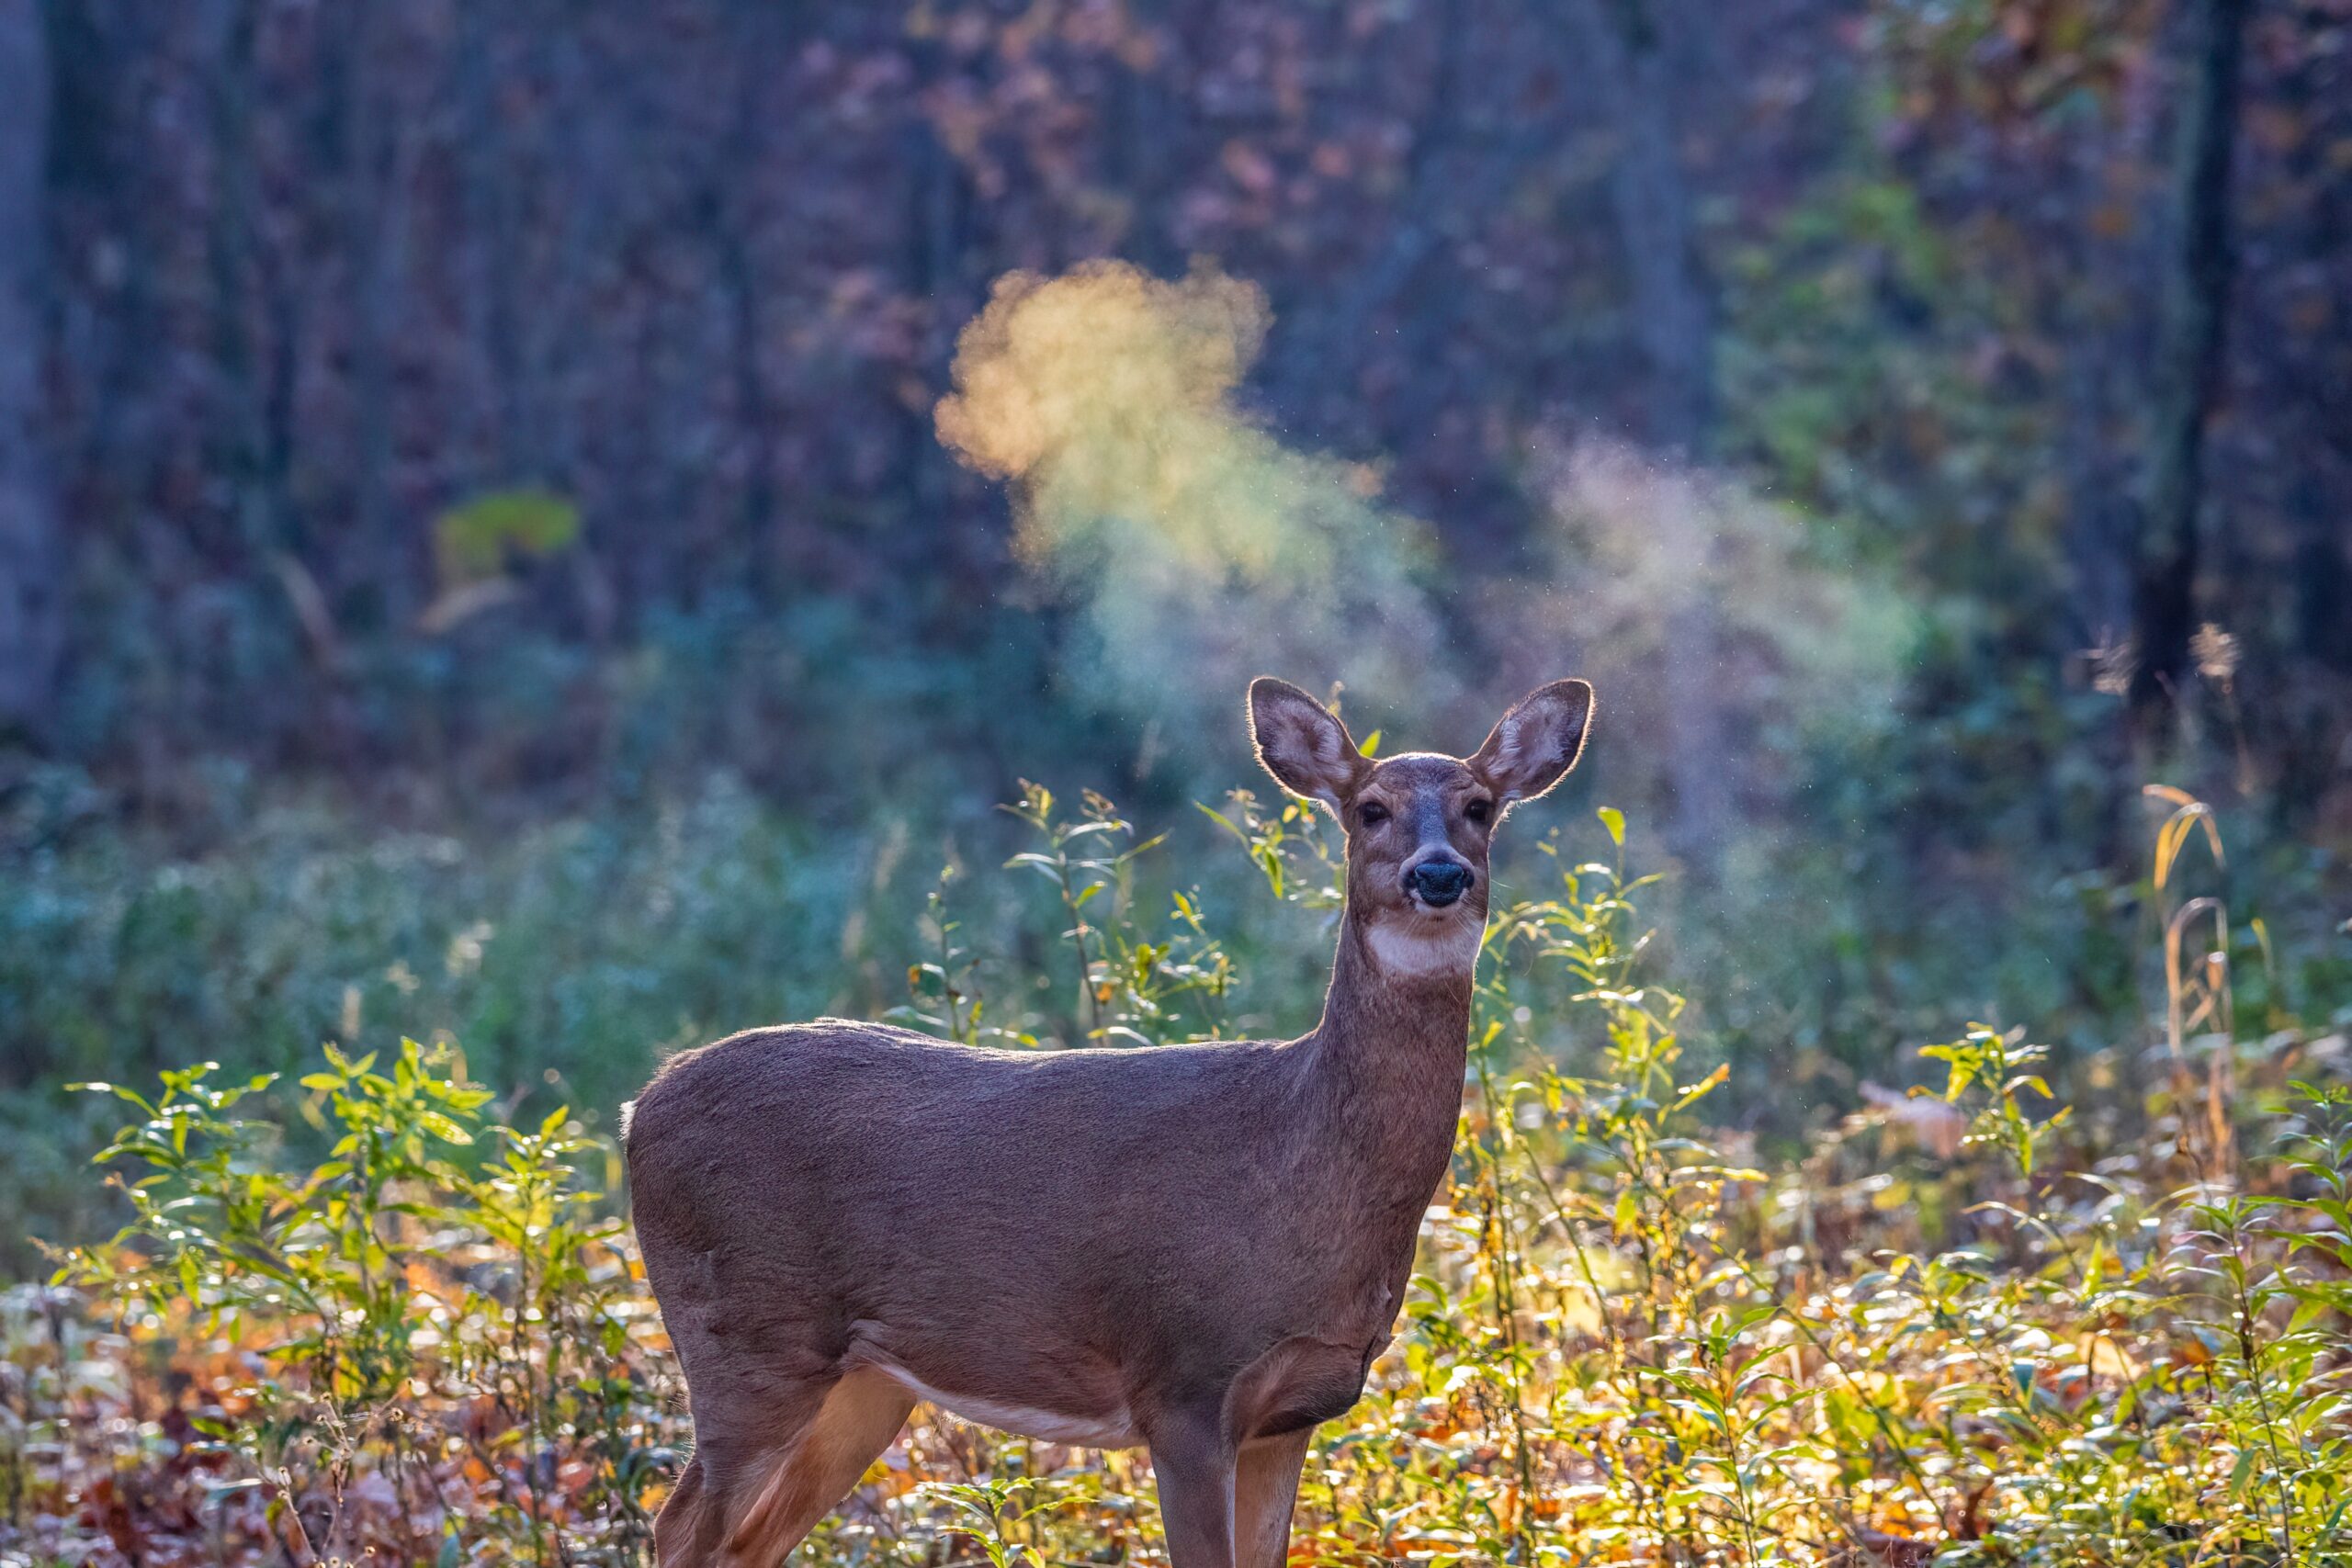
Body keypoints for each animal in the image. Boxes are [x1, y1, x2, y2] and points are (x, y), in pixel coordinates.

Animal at [620, 677, 1599, 1568]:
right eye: (1370, 809)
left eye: (1480, 807)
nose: (1437, 873)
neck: (1298, 1158)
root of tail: (641, 1102)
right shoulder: (1183, 1380)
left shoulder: (1294, 1410)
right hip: (745, 1336)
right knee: (681, 1527)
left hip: (862, 1383)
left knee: (739, 1541)